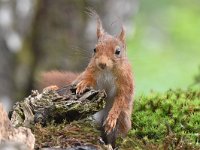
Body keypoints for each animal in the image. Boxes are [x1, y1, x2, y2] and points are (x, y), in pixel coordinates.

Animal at [39, 12, 134, 148]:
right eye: (95, 49)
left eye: (118, 51)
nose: (102, 64)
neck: (107, 71)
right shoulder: (91, 71)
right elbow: (88, 80)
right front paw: (82, 85)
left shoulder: (126, 82)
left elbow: (121, 99)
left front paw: (112, 117)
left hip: (121, 122)